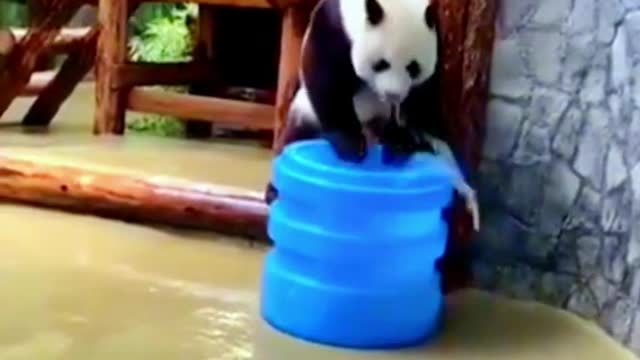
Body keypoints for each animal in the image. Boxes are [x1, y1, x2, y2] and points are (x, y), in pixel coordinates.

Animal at [266, 0, 480, 231]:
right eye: (381, 64)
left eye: (413, 67)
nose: (393, 94)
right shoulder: (334, 25)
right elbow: (326, 77)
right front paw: (350, 145)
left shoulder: (436, 39)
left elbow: (423, 98)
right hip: (306, 112)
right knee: (297, 135)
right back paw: (274, 191)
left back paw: (398, 144)